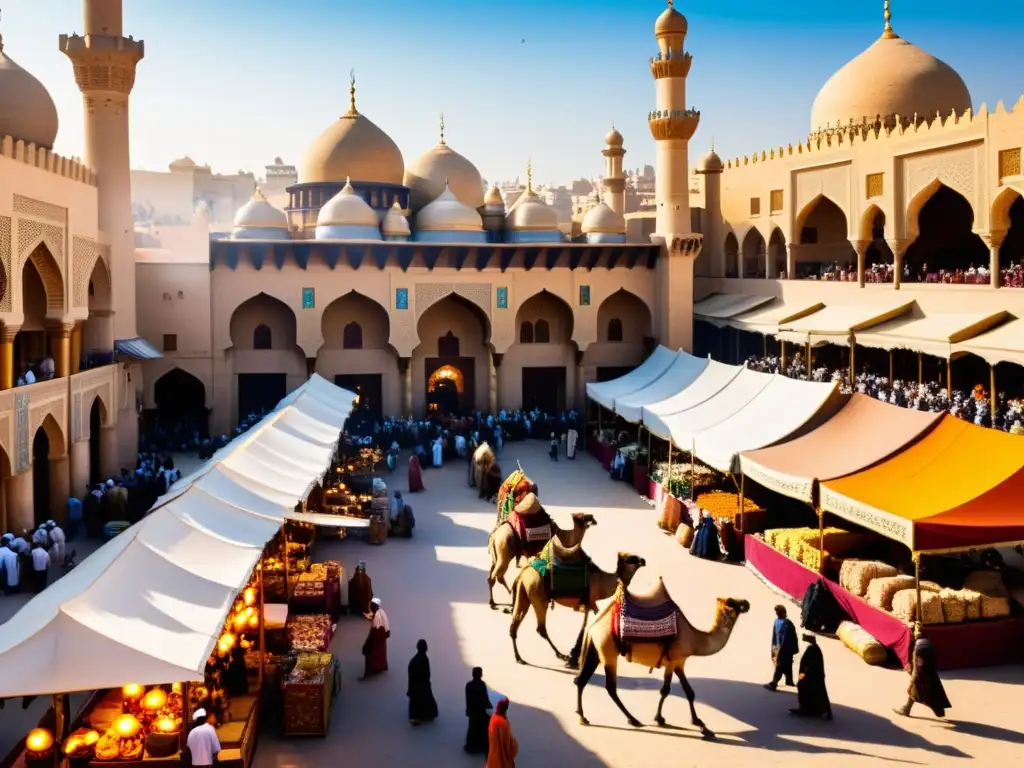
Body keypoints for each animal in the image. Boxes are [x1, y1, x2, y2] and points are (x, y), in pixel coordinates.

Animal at [507, 548, 643, 671]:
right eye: (631, 558)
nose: (643, 561)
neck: (601, 582)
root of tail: (522, 573)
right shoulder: (588, 602)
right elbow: (584, 628)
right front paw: (574, 660)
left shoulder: (591, 604)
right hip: (538, 596)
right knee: (541, 629)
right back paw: (561, 655)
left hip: (524, 593)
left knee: (514, 626)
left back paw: (519, 658)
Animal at [577, 581, 753, 741]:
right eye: (732, 601)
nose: (747, 603)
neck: (695, 639)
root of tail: (593, 625)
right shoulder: (673, 660)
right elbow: (665, 690)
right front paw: (660, 719)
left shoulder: (679, 662)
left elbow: (689, 691)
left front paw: (698, 722)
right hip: (608, 651)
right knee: (610, 687)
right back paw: (633, 720)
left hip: (596, 648)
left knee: (582, 679)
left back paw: (582, 717)